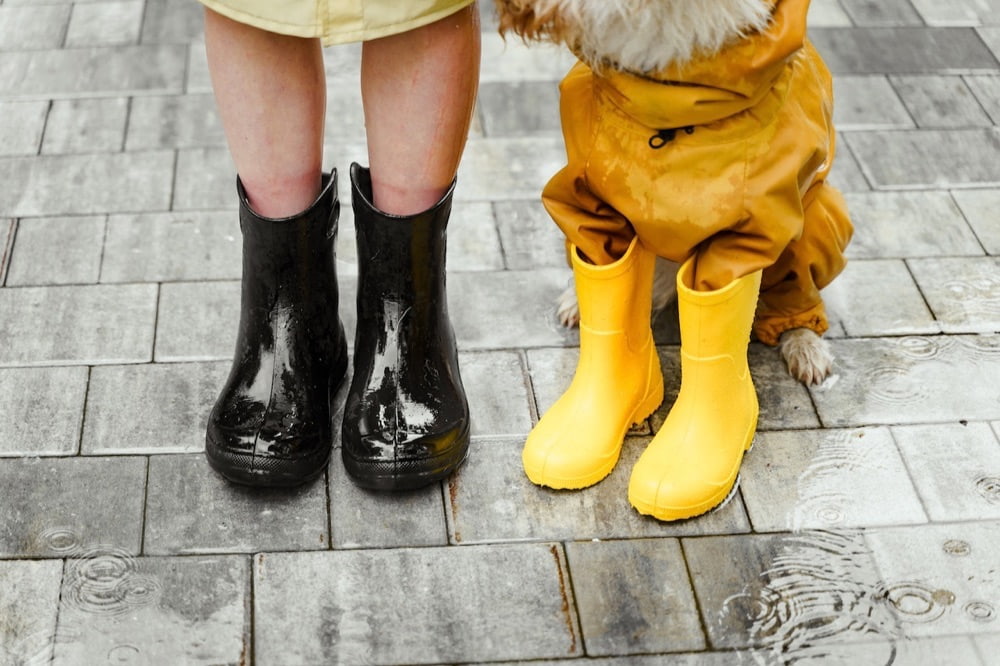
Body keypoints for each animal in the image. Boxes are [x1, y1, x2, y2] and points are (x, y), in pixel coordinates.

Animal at [500, 0, 852, 386]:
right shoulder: (590, 202)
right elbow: (606, 268)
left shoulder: (754, 233)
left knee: (796, 290)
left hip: (814, 223)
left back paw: (805, 343)